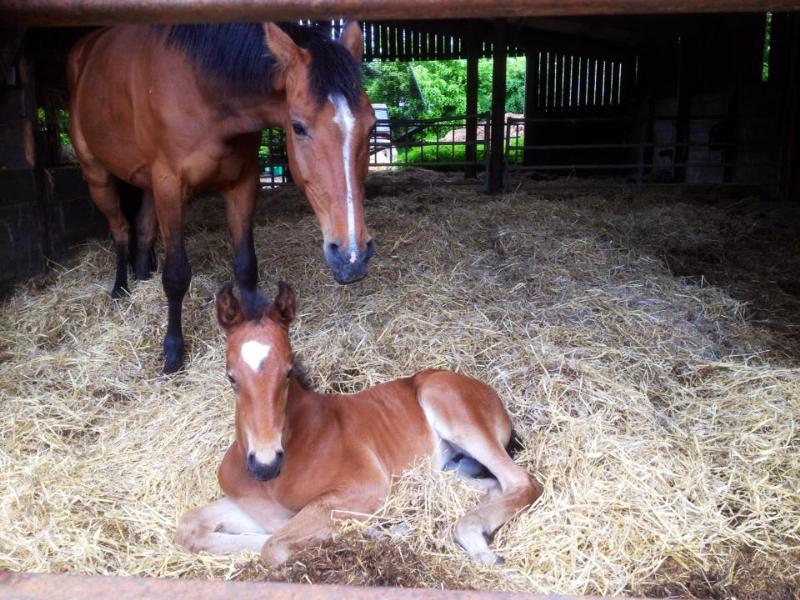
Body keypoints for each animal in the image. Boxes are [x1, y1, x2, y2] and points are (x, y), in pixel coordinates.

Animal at [68, 23, 376, 372]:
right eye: (297, 127)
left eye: (371, 126)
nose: (352, 257)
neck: (201, 86)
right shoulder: (168, 185)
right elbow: (176, 275)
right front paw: (172, 352)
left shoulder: (242, 182)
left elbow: (245, 264)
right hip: (98, 176)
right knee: (120, 230)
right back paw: (120, 289)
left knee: (143, 230)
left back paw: (143, 278)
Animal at [172, 284, 540, 564]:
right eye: (230, 376)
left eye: (288, 372)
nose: (265, 464)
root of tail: (483, 389)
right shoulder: (253, 505)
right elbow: (191, 527)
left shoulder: (364, 487)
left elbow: (273, 546)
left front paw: (382, 531)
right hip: (442, 471)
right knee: (493, 486)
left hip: (450, 408)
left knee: (522, 482)